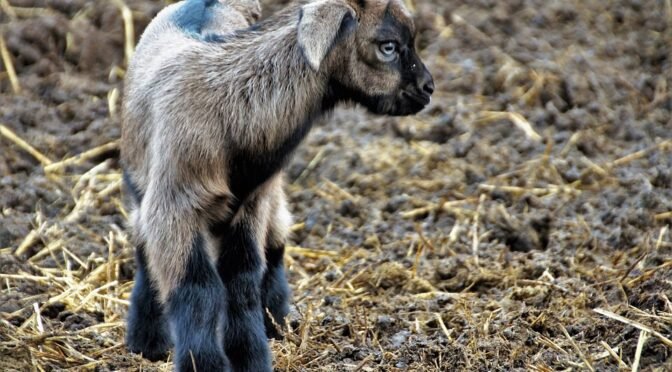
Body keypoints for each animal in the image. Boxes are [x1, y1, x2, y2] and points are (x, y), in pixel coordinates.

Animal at [121, 0, 436, 370]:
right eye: (388, 46)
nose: (428, 89)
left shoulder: (251, 203)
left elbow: (241, 280)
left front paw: (251, 357)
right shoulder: (176, 205)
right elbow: (198, 288)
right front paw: (206, 362)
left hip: (266, 196)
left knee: (274, 241)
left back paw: (276, 323)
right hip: (141, 182)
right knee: (143, 246)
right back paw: (147, 343)